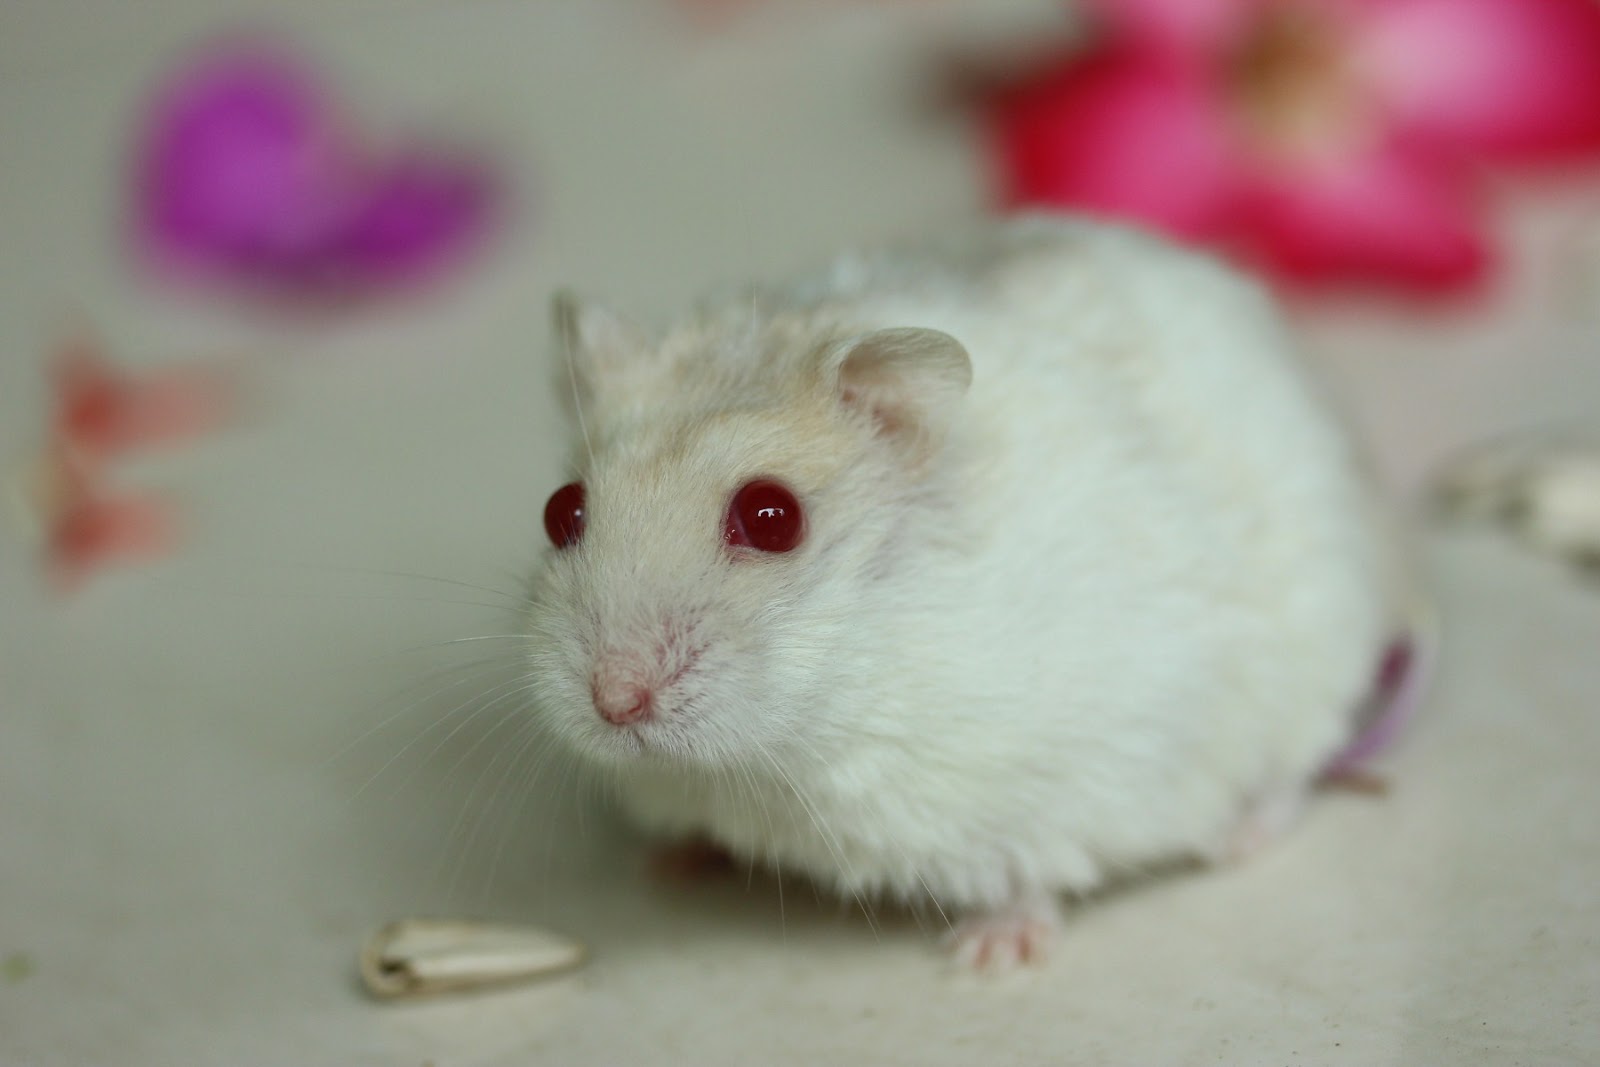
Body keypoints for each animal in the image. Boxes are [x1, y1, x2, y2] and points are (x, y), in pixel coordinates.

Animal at [521, 215, 1420, 966]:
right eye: (560, 509)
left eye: (772, 517)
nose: (614, 700)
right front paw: (666, 861)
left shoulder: (1058, 779)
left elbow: (1031, 871)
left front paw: (986, 957)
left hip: (1313, 672)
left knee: (1292, 776)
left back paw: (1234, 841)